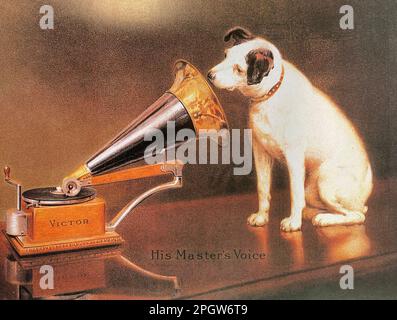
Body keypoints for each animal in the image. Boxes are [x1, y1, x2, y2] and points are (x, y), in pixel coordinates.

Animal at [206, 26, 372, 231]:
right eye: (225, 55)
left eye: (238, 69)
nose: (210, 76)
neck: (270, 95)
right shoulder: (260, 153)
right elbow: (262, 188)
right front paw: (261, 217)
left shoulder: (294, 158)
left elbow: (294, 192)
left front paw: (293, 222)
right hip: (313, 189)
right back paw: (313, 214)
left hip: (326, 182)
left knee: (356, 215)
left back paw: (325, 219)